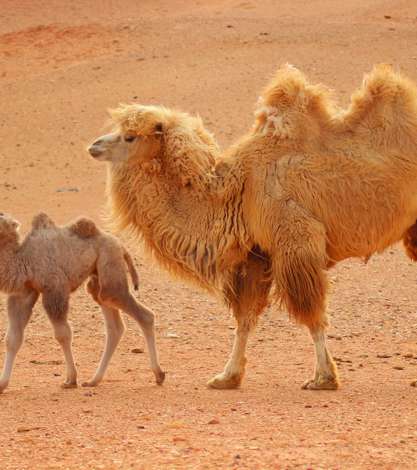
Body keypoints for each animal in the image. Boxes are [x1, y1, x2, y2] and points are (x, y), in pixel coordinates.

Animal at [0, 211, 164, 392]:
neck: (24, 258)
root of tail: (121, 246)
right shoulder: (24, 293)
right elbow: (12, 339)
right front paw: (2, 384)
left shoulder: (55, 289)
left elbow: (63, 334)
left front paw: (71, 379)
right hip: (98, 279)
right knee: (114, 325)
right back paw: (94, 380)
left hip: (110, 265)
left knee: (143, 314)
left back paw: (159, 374)